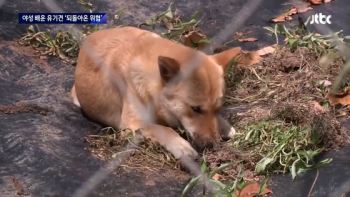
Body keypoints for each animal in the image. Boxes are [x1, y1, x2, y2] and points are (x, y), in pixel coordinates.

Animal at [69, 25, 258, 160]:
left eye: (218, 108)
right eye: (195, 109)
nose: (213, 145)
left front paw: (223, 125)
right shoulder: (131, 124)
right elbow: (164, 130)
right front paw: (180, 145)